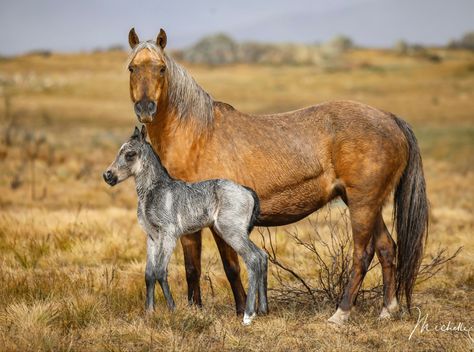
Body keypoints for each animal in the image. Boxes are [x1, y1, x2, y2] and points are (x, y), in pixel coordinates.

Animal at [103, 126, 266, 324]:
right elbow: (149, 274)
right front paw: (149, 312)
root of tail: (247, 191)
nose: (108, 176)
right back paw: (263, 309)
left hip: (231, 232)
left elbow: (160, 271)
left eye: (130, 154)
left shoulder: (169, 235)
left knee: (253, 258)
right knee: (262, 256)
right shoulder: (152, 237)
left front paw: (173, 309)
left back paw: (248, 315)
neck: (155, 192)